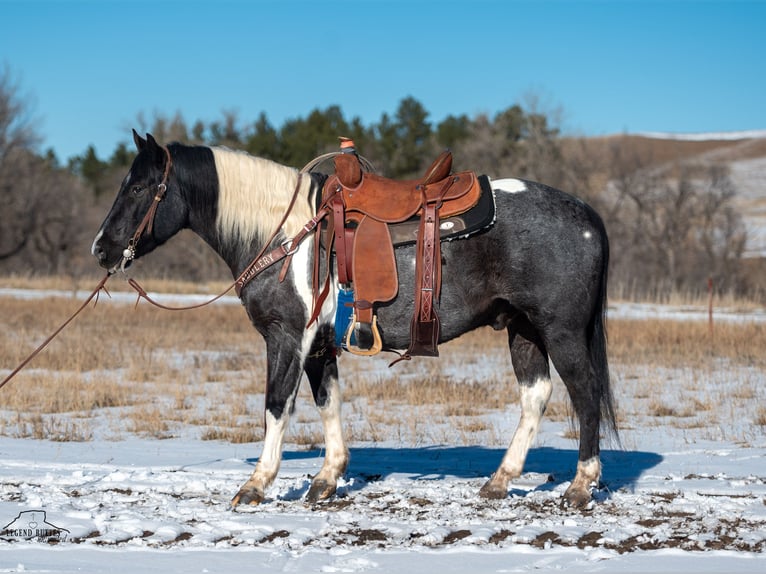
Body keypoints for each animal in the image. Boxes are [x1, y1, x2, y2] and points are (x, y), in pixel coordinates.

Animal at [91, 133, 616, 510]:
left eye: (139, 187)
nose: (101, 249)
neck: (286, 235)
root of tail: (589, 216)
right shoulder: (319, 346)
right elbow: (329, 403)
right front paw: (326, 478)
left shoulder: (286, 336)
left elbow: (276, 405)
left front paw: (256, 484)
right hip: (523, 329)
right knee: (536, 395)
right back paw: (499, 481)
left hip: (561, 331)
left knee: (585, 393)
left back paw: (580, 486)